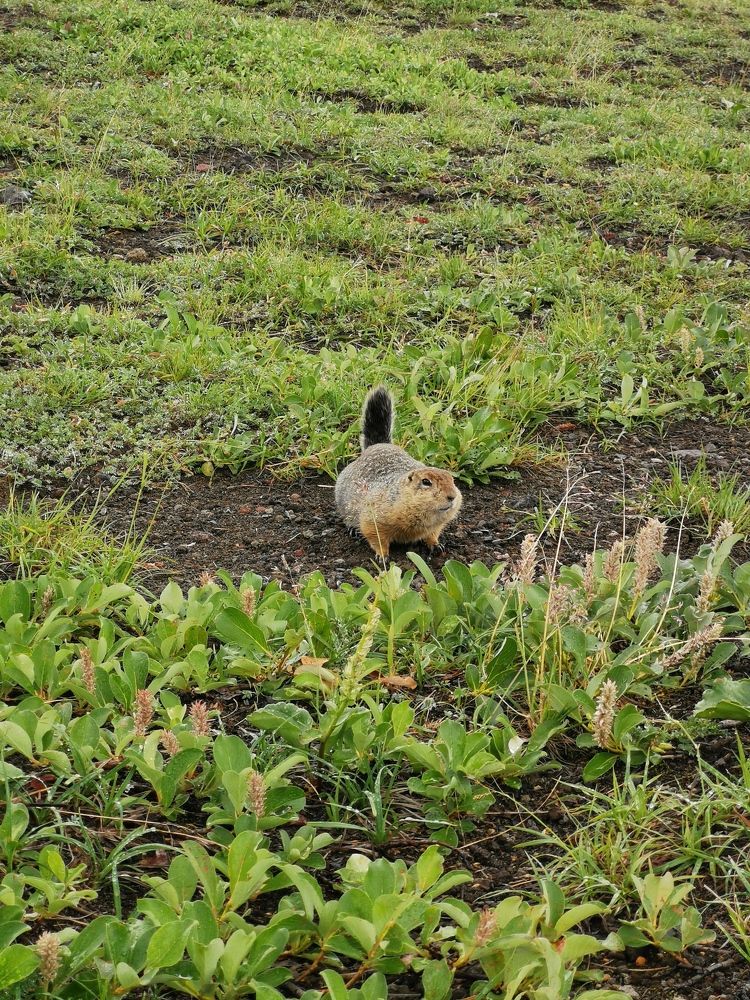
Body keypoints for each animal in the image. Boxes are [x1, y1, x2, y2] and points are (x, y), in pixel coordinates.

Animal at [335, 387, 462, 558]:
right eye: (426, 482)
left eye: (452, 480)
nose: (452, 496)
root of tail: (377, 445)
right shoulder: (374, 517)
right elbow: (375, 536)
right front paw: (382, 555)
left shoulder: (435, 526)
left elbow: (433, 534)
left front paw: (436, 545)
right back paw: (352, 529)